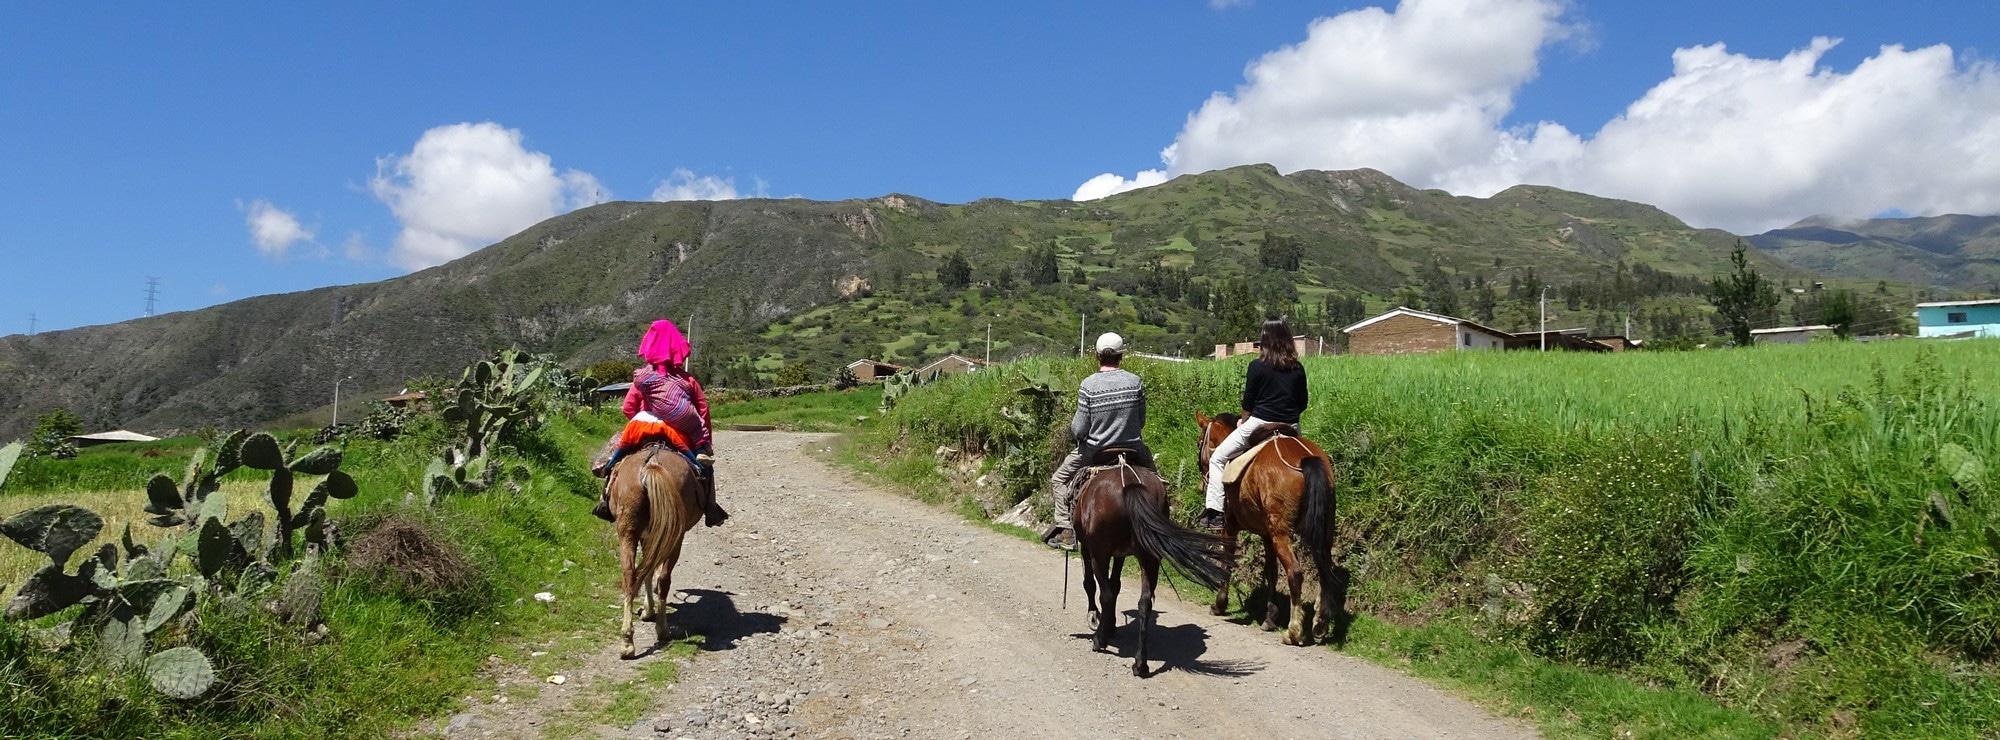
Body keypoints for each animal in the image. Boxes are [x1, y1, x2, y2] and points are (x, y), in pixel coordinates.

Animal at [608, 442, 704, 656]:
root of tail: (652, 464)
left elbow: (647, 571)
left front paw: (647, 610)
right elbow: (649, 570)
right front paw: (648, 610)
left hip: (628, 533)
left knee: (631, 576)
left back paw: (629, 641)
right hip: (672, 537)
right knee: (660, 578)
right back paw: (658, 630)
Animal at [1080, 450, 1232, 676]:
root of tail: (1130, 482)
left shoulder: (1088, 547)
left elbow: (1091, 584)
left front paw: (1097, 620)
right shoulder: (1120, 554)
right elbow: (1116, 585)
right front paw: (1111, 625)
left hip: (1101, 553)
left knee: (1105, 594)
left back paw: (1100, 640)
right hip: (1149, 557)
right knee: (1145, 602)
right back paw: (1140, 664)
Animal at [1192, 414, 1336, 644]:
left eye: (1200, 443)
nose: (1200, 486)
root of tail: (1305, 458)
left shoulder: (1230, 526)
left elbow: (1227, 561)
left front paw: (1219, 604)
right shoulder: (1267, 534)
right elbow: (1271, 571)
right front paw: (1271, 616)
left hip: (1281, 533)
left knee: (1295, 573)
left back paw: (1294, 631)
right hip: (1323, 529)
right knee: (1324, 570)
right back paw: (1320, 624)